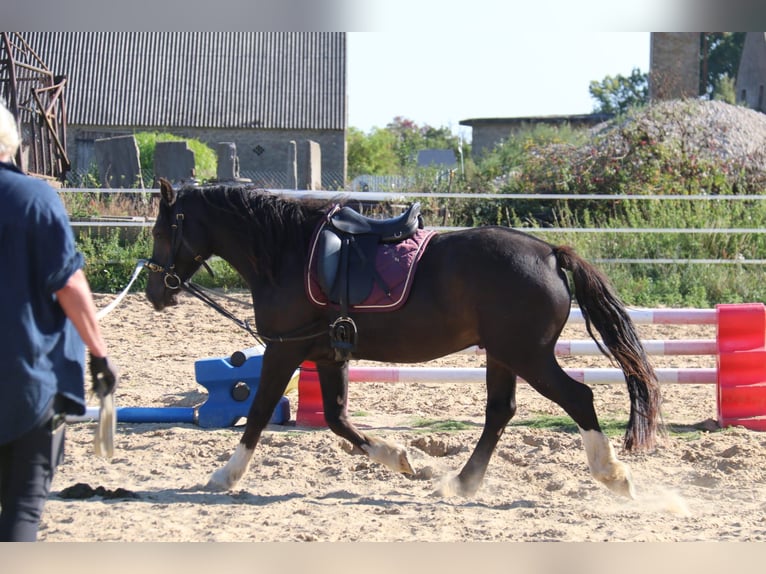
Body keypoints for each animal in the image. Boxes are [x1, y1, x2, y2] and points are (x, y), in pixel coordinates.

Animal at [145, 179, 662, 499]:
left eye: (160, 230)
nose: (154, 291)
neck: (285, 253)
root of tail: (551, 253)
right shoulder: (327, 354)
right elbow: (337, 419)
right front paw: (400, 459)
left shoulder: (283, 348)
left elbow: (256, 414)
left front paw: (225, 475)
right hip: (503, 355)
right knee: (501, 412)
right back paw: (461, 483)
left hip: (527, 355)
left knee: (577, 398)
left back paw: (613, 475)